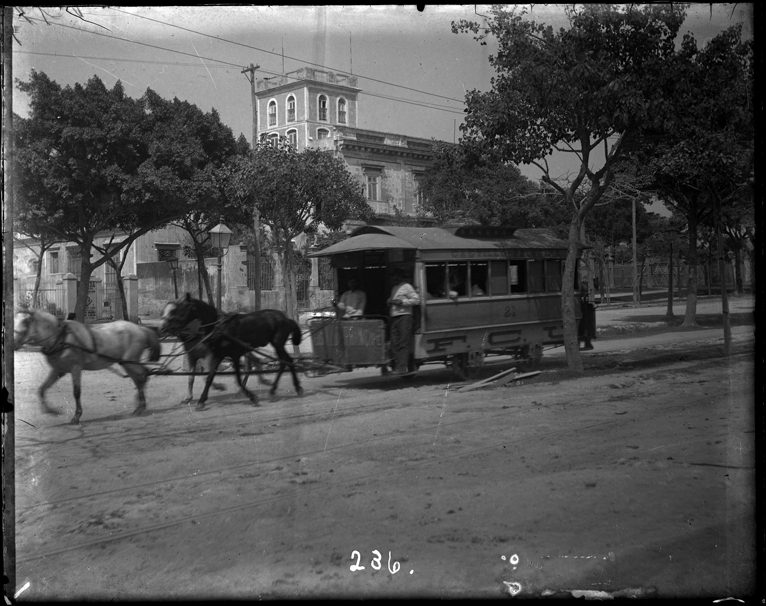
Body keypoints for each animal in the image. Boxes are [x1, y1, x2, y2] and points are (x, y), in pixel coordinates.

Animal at [161, 294, 304, 410]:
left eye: (183, 309)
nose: (169, 327)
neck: (219, 327)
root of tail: (286, 318)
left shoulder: (234, 355)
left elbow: (237, 379)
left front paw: (253, 398)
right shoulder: (217, 355)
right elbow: (209, 377)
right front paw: (201, 401)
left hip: (277, 343)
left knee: (285, 360)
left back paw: (286, 388)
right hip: (275, 345)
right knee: (286, 361)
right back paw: (282, 389)